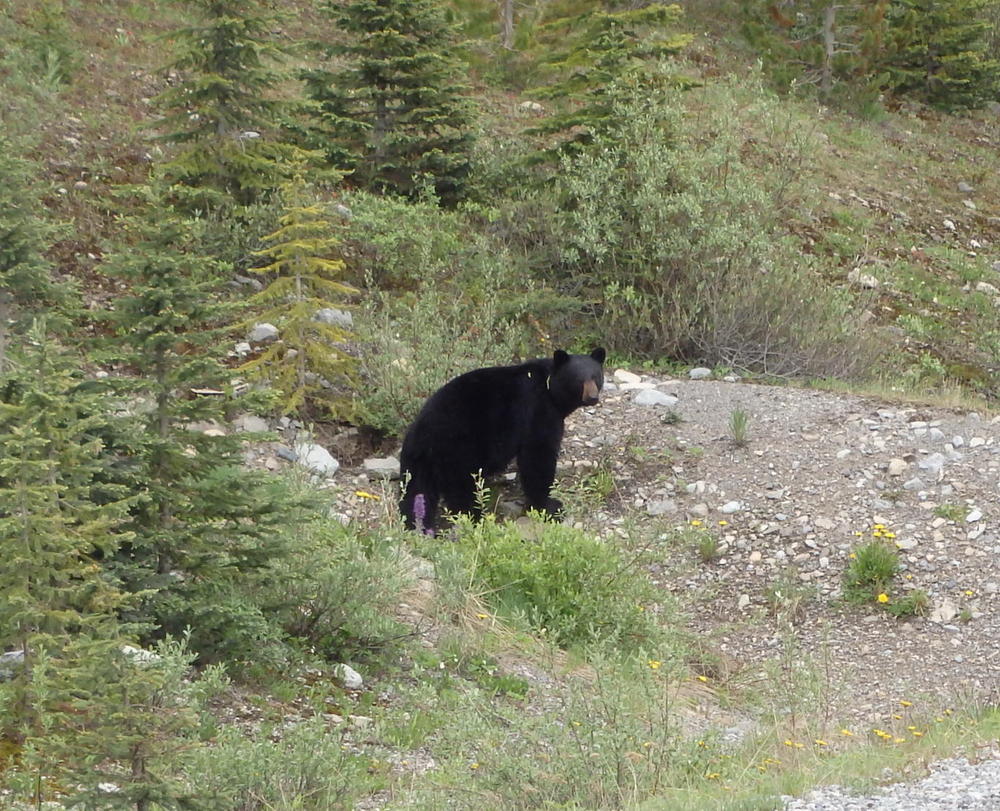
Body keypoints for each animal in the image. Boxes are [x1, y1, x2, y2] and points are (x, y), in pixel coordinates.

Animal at [400, 348, 608, 532]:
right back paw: (476, 520)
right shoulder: (539, 410)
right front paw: (549, 505)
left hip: (417, 461)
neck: (550, 390)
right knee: (463, 493)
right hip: (459, 452)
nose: (592, 397)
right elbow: (538, 456)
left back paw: (417, 527)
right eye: (578, 380)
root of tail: (424, 436)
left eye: (596, 377)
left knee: (416, 492)